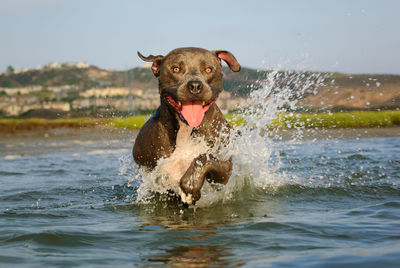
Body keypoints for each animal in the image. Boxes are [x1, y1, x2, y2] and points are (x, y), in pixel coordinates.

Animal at [134, 47, 241, 205]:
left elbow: (204, 158)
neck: (185, 129)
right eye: (176, 69)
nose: (195, 85)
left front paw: (190, 187)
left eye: (208, 69)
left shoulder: (224, 171)